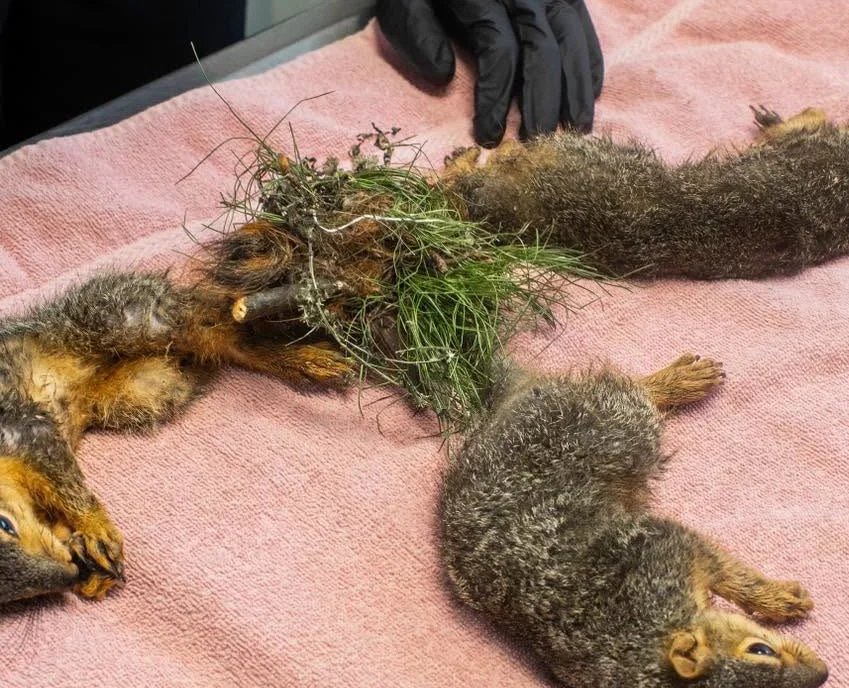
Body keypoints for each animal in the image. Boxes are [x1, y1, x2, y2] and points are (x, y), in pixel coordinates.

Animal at [0, 271, 350, 604]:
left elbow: (67, 484)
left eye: (4, 524)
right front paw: (89, 566)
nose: (68, 576)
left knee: (217, 323)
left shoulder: (26, 428)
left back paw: (301, 352)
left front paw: (96, 530)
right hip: (145, 387)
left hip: (122, 317)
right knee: (215, 349)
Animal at [440, 355, 829, 687]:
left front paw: (779, 599)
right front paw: (777, 599)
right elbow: (733, 575)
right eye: (760, 650)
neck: (644, 633)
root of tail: (510, 400)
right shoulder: (672, 548)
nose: (823, 673)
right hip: (627, 428)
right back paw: (681, 381)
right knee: (635, 393)